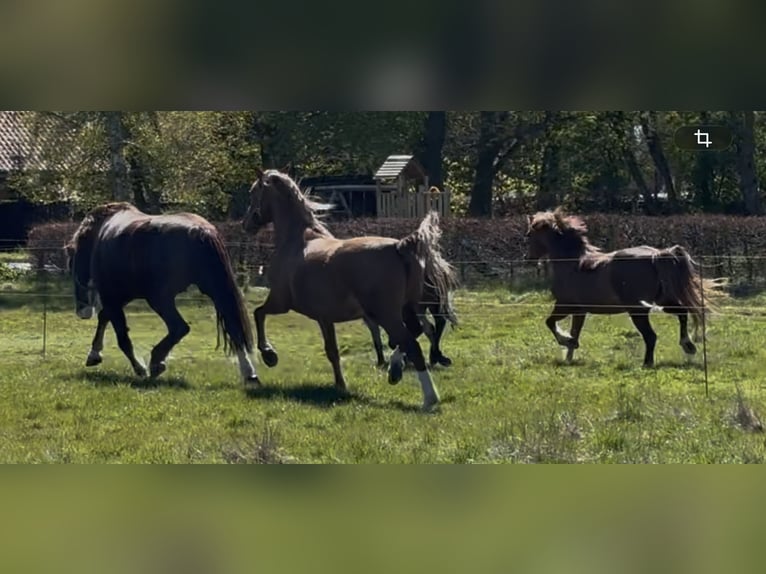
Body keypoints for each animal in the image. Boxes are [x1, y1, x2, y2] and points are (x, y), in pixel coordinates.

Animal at [64, 202, 258, 384]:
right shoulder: (120, 297)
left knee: (179, 327)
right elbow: (105, 317)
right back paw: (249, 373)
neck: (100, 234)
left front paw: (140, 368)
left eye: (72, 261)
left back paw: (156, 362)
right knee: (233, 327)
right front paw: (94, 354)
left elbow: (122, 337)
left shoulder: (111, 297)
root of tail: (200, 231)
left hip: (160, 298)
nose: (82, 311)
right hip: (216, 290)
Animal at [241, 168, 455, 410]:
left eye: (253, 193)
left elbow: (258, 313)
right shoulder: (324, 318)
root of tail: (399, 246)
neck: (297, 242)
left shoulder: (280, 302)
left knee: (412, 343)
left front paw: (269, 354)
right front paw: (340, 385)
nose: (246, 224)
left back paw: (429, 398)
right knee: (417, 332)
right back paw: (395, 371)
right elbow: (332, 352)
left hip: (387, 314)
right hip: (407, 310)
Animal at [526, 208, 726, 367]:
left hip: (638, 310)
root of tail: (656, 255)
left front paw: (566, 341)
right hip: (662, 301)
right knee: (682, 313)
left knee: (651, 336)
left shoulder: (565, 305)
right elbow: (575, 332)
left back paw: (647, 364)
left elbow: (550, 323)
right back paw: (688, 345)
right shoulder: (580, 311)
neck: (572, 263)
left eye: (529, 235)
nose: (530, 259)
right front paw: (569, 354)